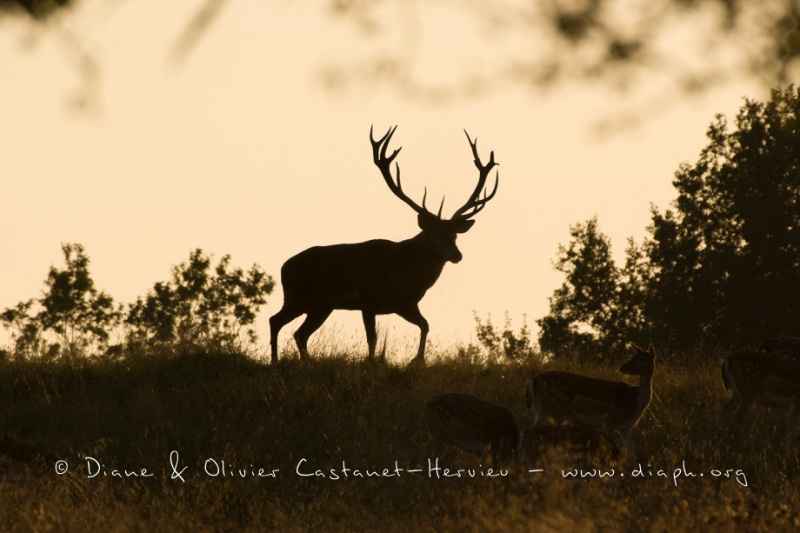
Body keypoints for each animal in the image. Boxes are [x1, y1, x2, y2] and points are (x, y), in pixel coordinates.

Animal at [268, 127, 496, 364]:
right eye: (435, 234)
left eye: (455, 236)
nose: (457, 255)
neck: (402, 275)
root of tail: (284, 266)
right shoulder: (367, 299)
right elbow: (373, 338)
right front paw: (371, 362)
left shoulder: (406, 304)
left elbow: (425, 325)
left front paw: (417, 360)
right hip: (297, 296)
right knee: (276, 320)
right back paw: (275, 361)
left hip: (320, 306)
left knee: (299, 333)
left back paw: (306, 361)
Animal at [524, 344, 656, 466]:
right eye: (634, 356)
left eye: (641, 359)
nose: (622, 368)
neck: (637, 402)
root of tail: (532, 380)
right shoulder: (609, 421)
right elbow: (613, 448)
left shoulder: (625, 428)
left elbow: (631, 453)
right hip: (555, 411)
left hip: (542, 412)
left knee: (531, 431)